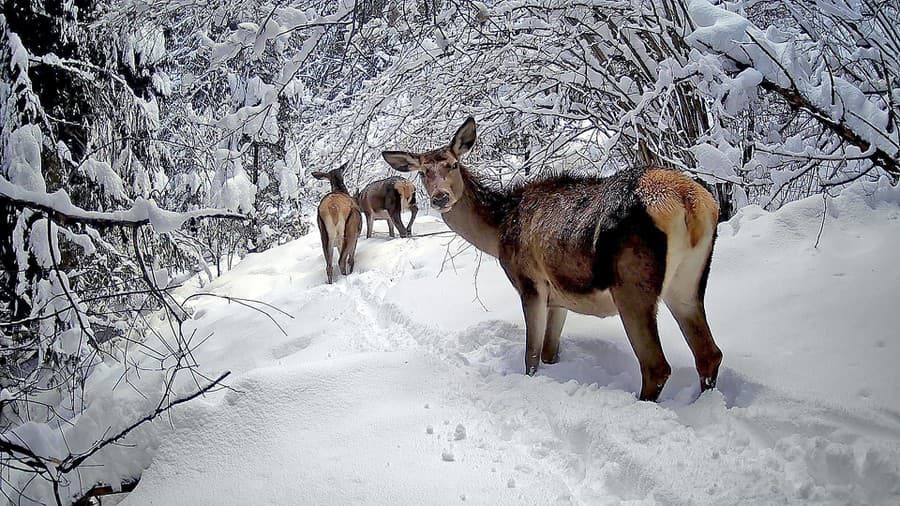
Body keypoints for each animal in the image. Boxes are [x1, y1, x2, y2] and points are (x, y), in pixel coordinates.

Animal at [382, 116, 724, 402]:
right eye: (423, 172)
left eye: (453, 164)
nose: (440, 197)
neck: (499, 229)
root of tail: (689, 201)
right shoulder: (560, 296)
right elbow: (549, 352)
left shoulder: (530, 282)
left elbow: (531, 356)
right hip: (688, 283)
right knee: (709, 354)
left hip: (632, 285)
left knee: (657, 366)